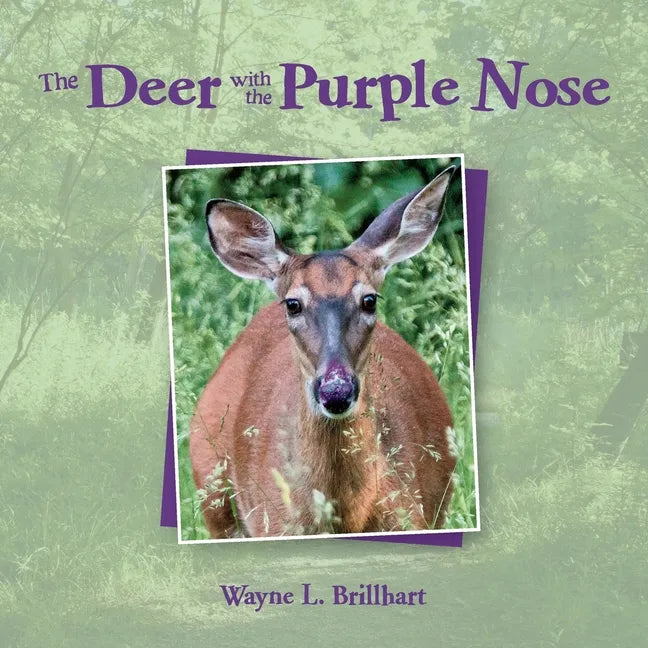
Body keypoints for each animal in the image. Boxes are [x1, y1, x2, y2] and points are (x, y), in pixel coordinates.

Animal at [189, 167, 458, 538]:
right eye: (293, 303)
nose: (336, 390)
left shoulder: (413, 514)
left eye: (369, 300)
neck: (346, 517)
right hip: (213, 495)